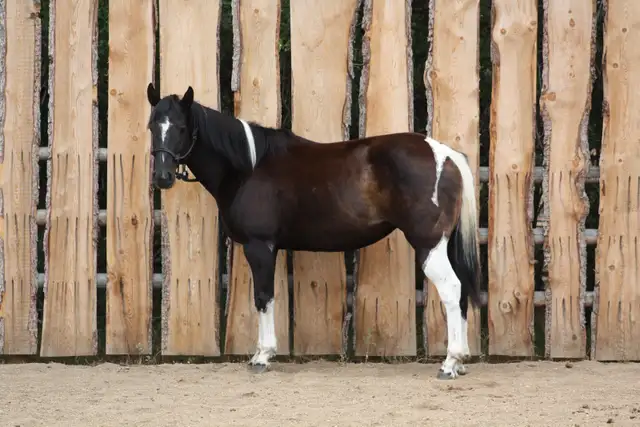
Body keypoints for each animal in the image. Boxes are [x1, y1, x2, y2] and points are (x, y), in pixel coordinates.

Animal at [145, 83, 482, 380]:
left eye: (181, 127)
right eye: (152, 126)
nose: (162, 177)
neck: (248, 167)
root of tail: (445, 155)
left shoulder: (260, 246)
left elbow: (263, 297)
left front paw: (262, 356)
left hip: (429, 245)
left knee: (452, 289)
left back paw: (449, 363)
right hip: (445, 245)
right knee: (462, 290)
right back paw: (461, 361)